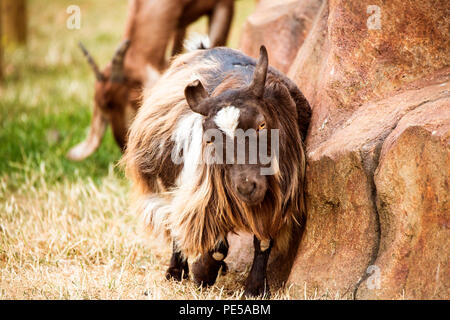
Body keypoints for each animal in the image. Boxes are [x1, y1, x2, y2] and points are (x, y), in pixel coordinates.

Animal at [124, 45, 312, 298]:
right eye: (210, 138)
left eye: (261, 125)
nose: (246, 187)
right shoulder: (204, 193)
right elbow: (215, 242)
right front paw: (203, 273)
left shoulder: (278, 196)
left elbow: (263, 241)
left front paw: (255, 289)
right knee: (175, 221)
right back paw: (176, 272)